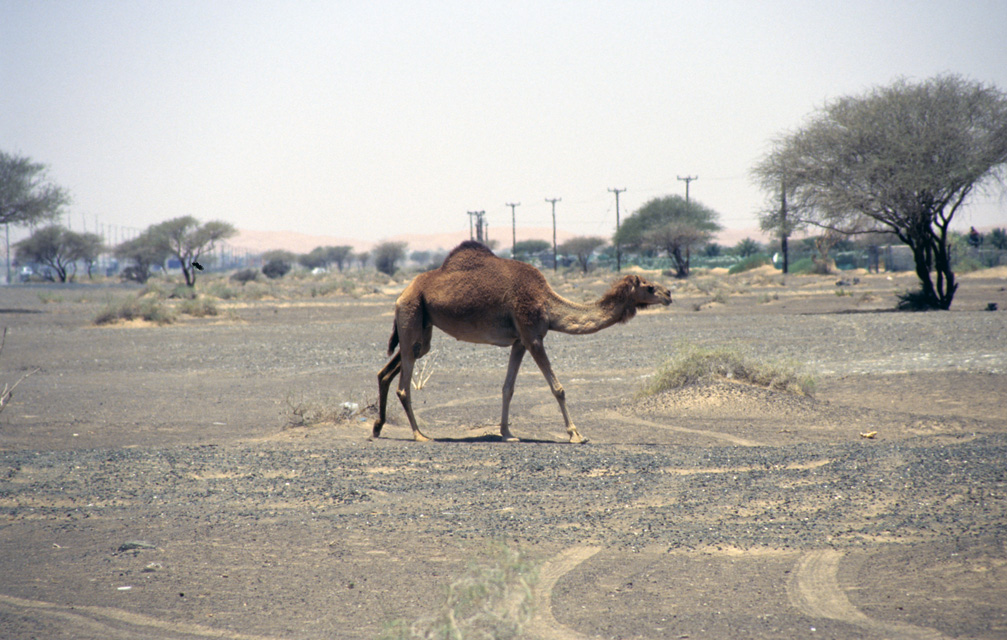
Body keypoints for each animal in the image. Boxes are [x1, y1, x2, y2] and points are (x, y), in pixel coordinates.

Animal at [370, 242, 668, 442]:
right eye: (649, 287)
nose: (668, 293)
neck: (547, 302)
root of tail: (402, 293)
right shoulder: (532, 336)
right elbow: (558, 388)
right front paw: (576, 434)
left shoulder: (520, 342)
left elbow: (508, 388)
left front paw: (507, 433)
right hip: (411, 312)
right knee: (404, 385)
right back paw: (419, 434)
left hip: (423, 326)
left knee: (389, 369)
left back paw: (377, 427)